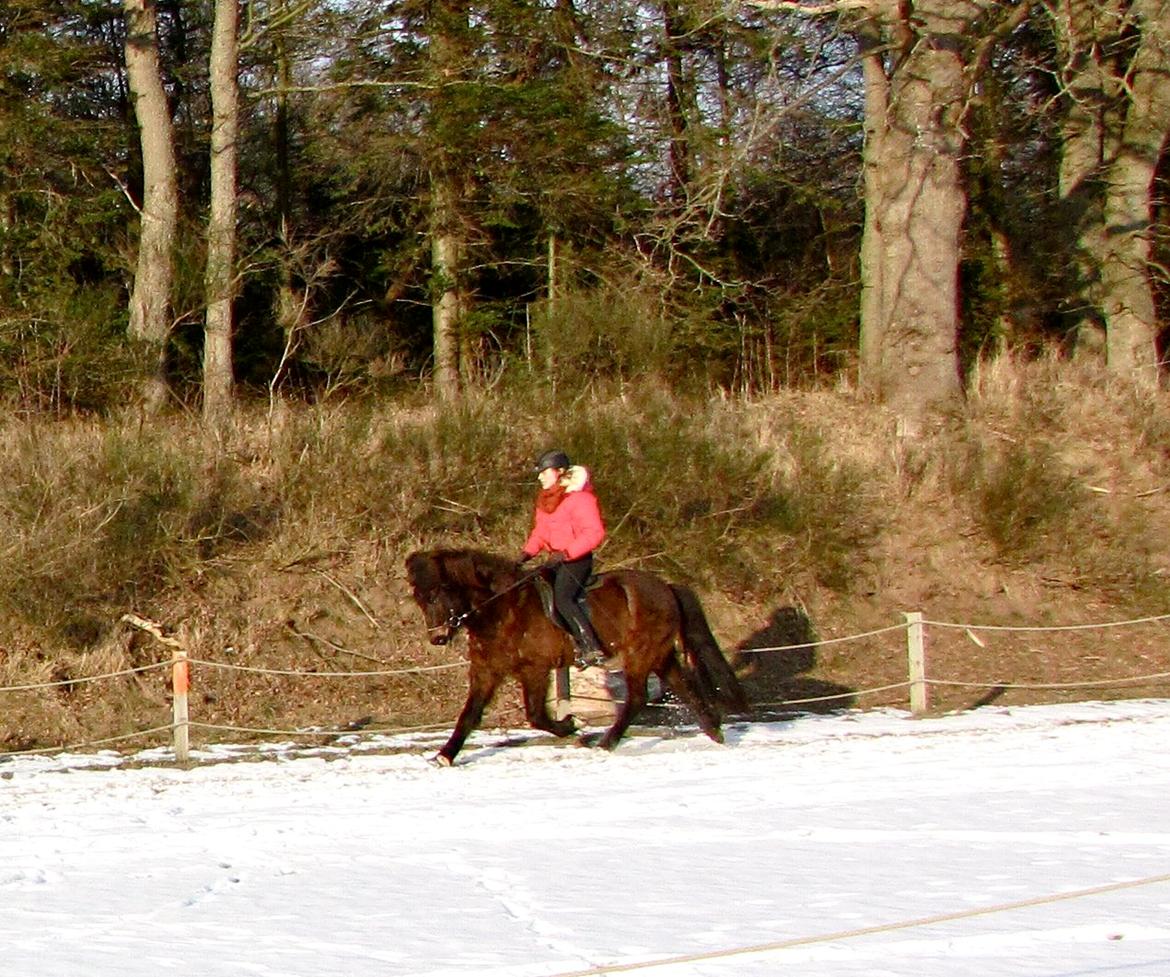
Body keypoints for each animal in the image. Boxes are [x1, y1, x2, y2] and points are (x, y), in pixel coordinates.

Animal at [407, 549, 744, 762]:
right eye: (419, 599)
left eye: (435, 594)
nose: (437, 638)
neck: (503, 608)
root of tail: (667, 588)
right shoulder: (486, 670)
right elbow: (469, 715)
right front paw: (445, 756)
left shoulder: (535, 668)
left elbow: (536, 714)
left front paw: (570, 726)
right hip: (659, 655)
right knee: (684, 687)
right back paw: (714, 732)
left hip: (639, 655)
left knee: (637, 698)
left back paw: (604, 743)